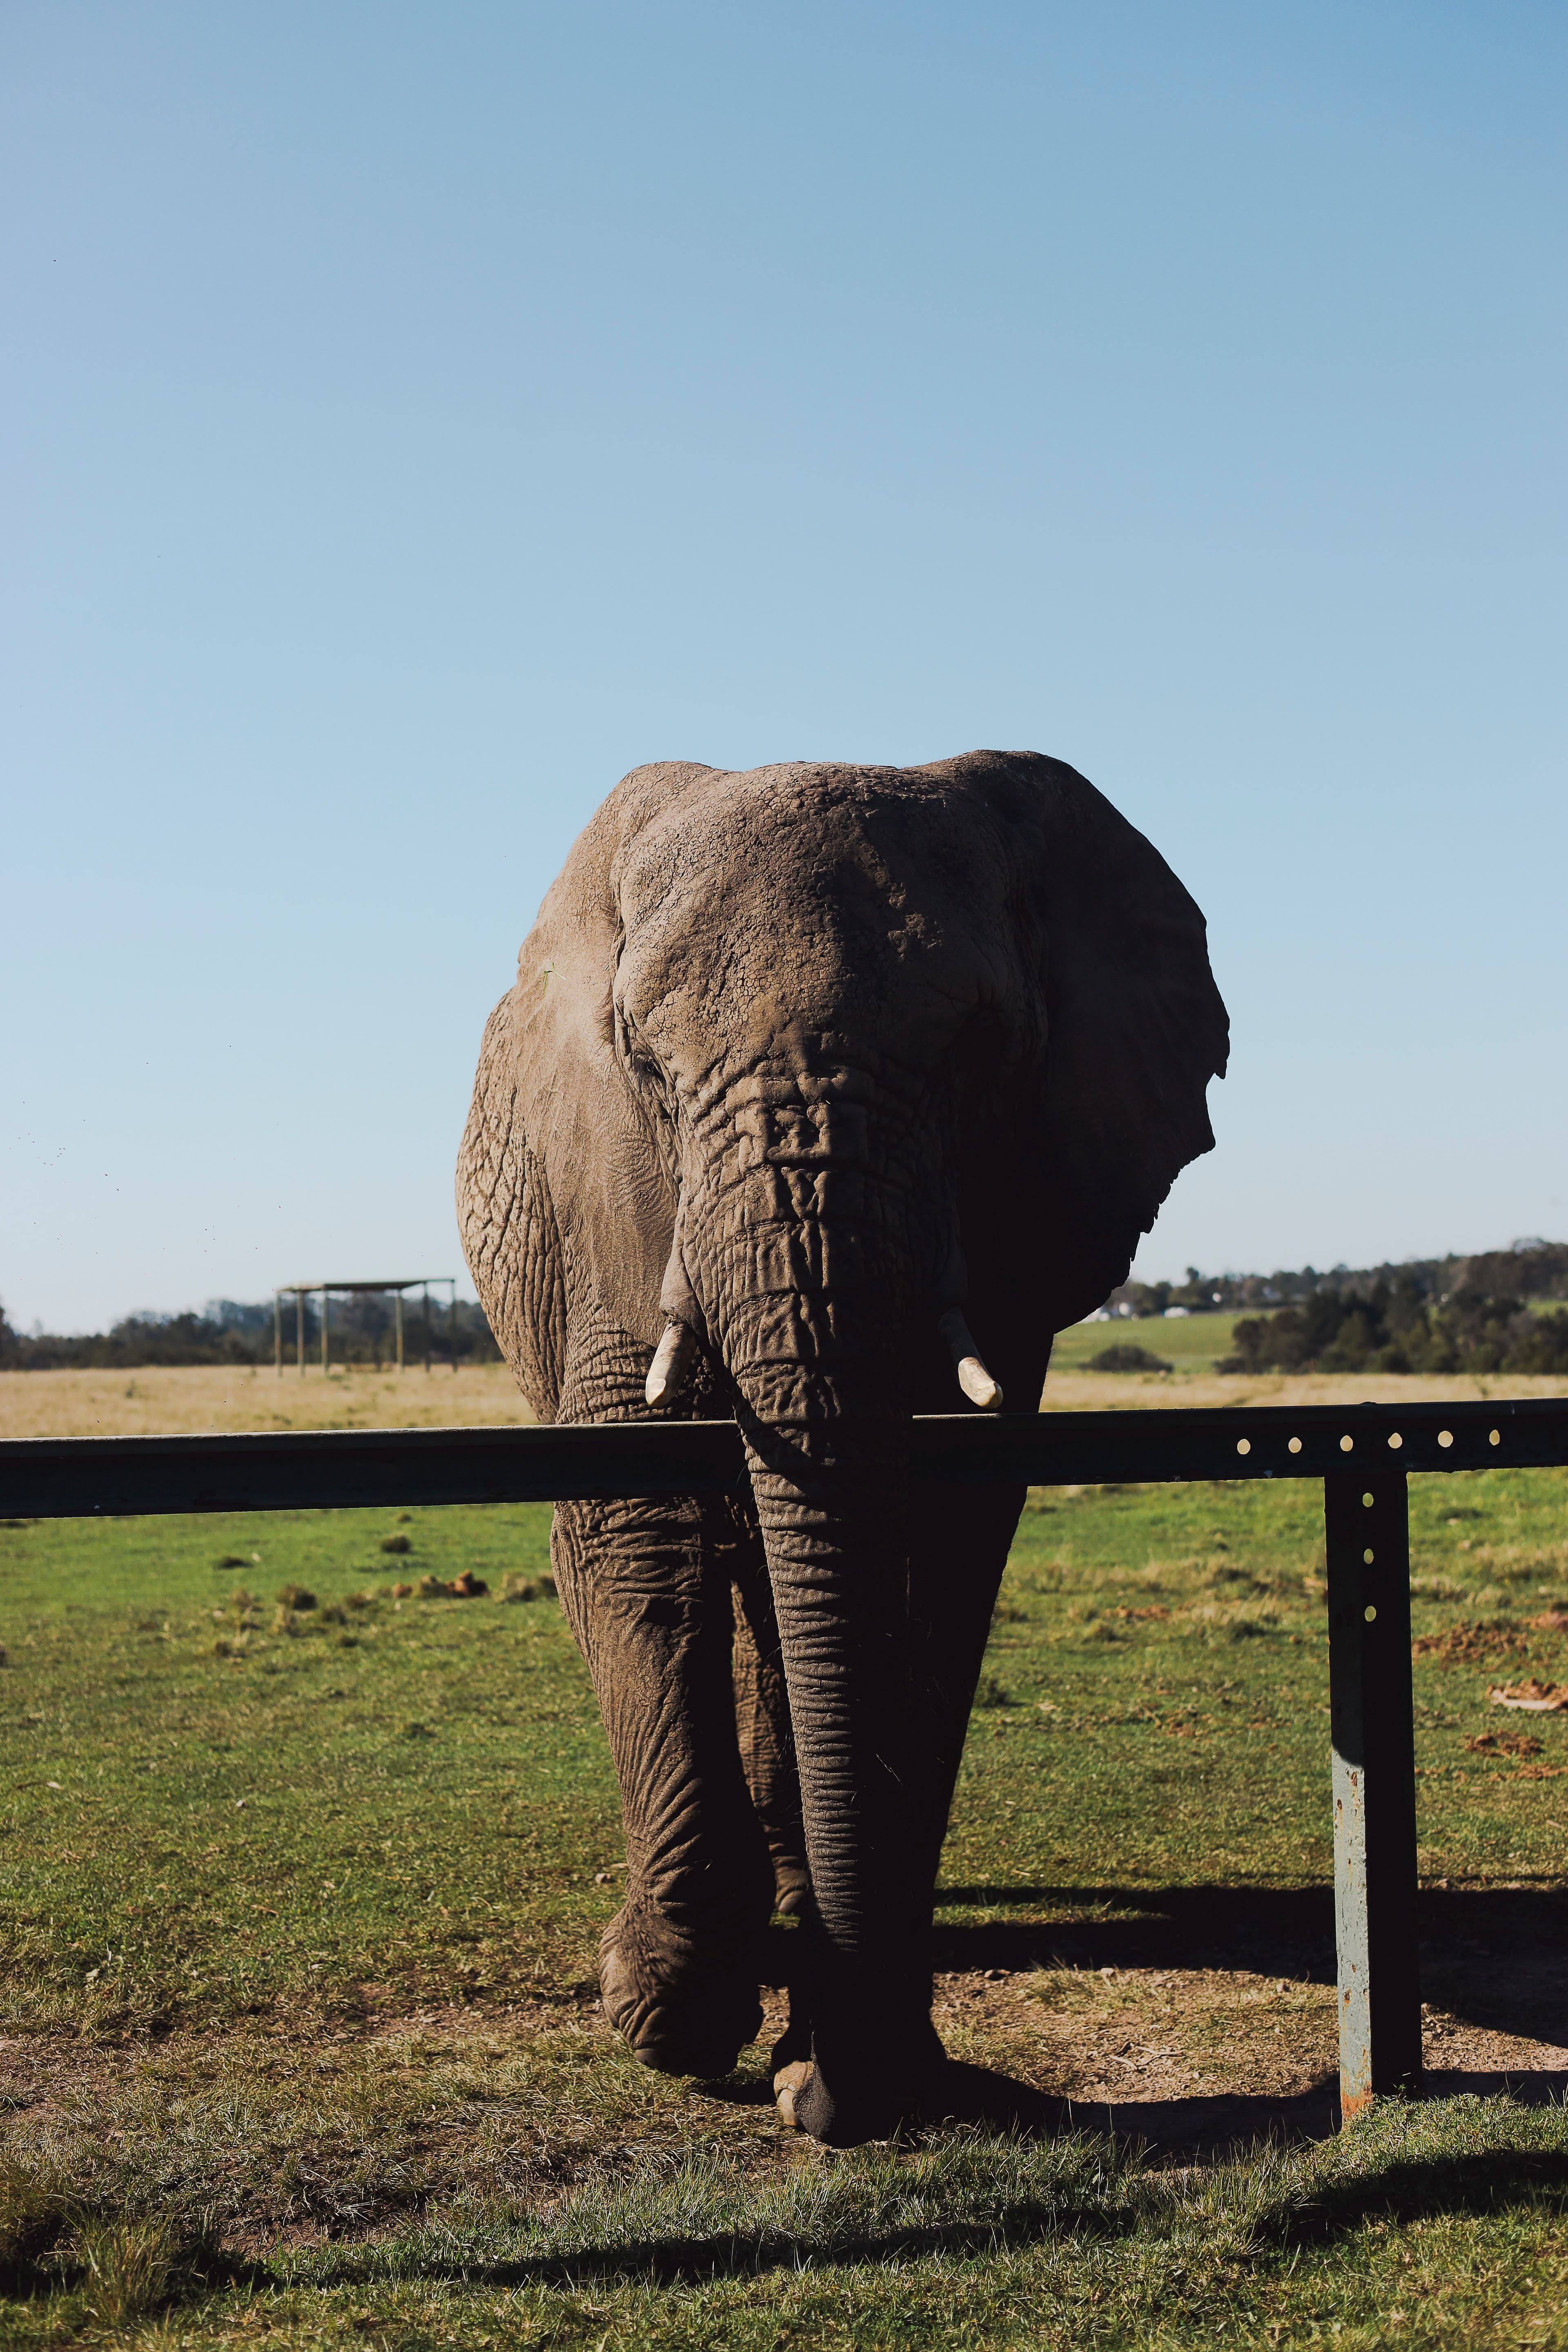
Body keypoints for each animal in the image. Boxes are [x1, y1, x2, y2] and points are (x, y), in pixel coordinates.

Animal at [457, 749, 1228, 2145]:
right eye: (648, 1069)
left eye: (981, 1054)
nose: (824, 2098)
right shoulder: (603, 1200)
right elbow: (633, 1522)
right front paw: (672, 2014)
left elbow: (939, 1546)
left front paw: (858, 2054)